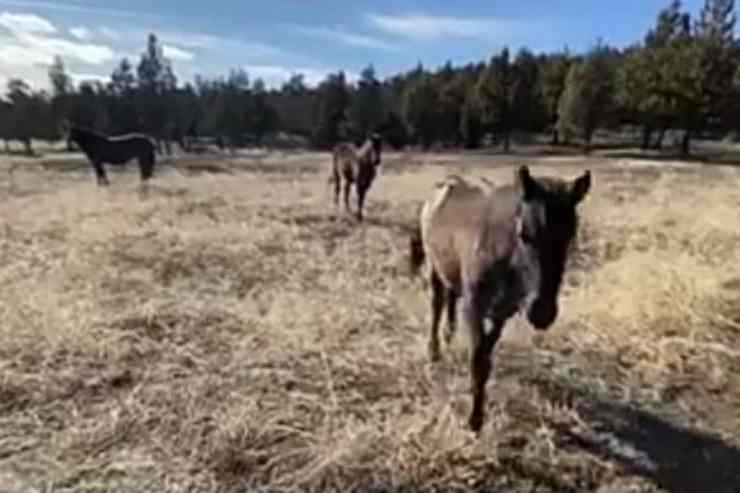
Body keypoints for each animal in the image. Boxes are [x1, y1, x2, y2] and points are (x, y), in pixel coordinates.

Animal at [408, 165, 592, 430]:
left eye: (570, 237)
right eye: (524, 234)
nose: (542, 312)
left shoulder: (502, 312)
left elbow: (486, 358)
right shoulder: (474, 306)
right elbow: (478, 360)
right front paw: (474, 420)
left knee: (451, 296)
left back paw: (449, 334)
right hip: (435, 267)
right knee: (437, 303)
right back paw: (434, 351)